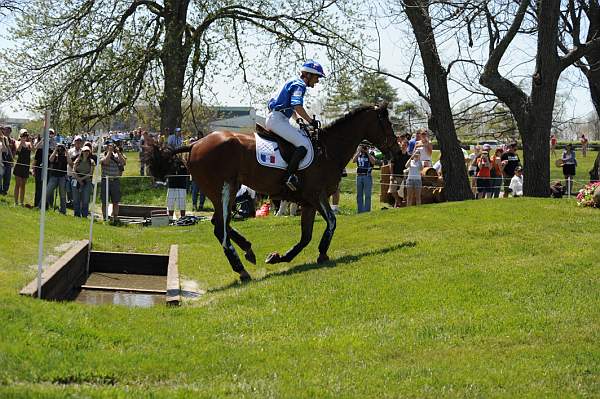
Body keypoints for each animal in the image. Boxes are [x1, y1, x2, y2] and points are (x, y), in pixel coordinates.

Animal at [147, 104, 398, 282]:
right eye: (386, 124)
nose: (397, 151)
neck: (328, 150)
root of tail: (194, 145)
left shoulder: (308, 202)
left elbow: (306, 236)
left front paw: (281, 257)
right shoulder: (316, 196)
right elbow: (332, 223)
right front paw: (320, 253)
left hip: (225, 191)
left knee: (221, 225)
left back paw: (248, 250)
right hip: (224, 190)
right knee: (221, 228)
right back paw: (241, 269)